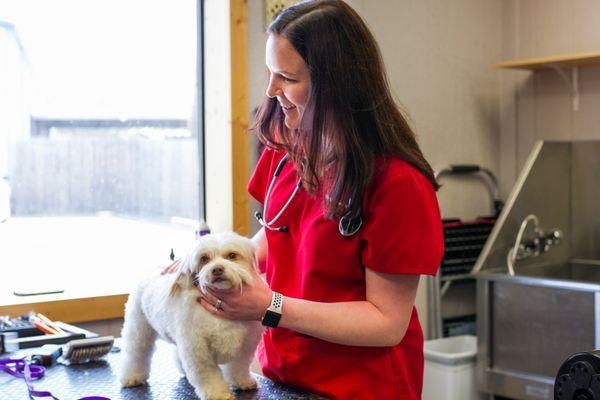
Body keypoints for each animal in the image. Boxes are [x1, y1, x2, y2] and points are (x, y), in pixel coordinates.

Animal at [119, 231, 262, 400]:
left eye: (232, 255)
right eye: (204, 259)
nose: (217, 269)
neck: (219, 315)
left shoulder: (244, 346)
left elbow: (238, 368)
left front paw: (244, 382)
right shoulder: (197, 350)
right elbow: (208, 376)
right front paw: (218, 393)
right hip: (139, 330)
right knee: (135, 354)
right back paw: (132, 377)